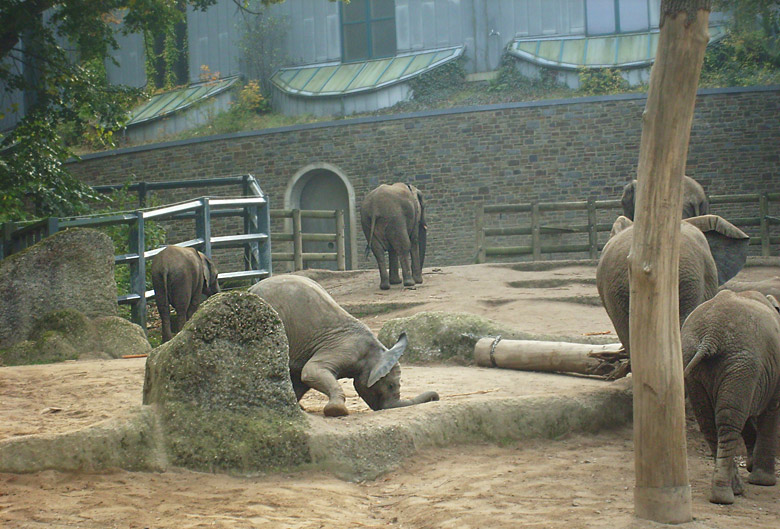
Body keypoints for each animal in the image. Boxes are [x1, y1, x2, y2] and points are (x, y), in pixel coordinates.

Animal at [248, 272, 436, 416]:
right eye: (390, 385)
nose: (436, 397)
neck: (376, 349)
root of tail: (250, 289)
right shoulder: (344, 349)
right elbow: (310, 371)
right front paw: (337, 411)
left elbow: (302, 379)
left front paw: (299, 409)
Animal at [684, 288, 780, 504]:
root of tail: (710, 335)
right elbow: (771, 413)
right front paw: (764, 482)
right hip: (740, 363)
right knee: (729, 421)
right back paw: (725, 496)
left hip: (698, 365)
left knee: (711, 422)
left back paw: (730, 490)